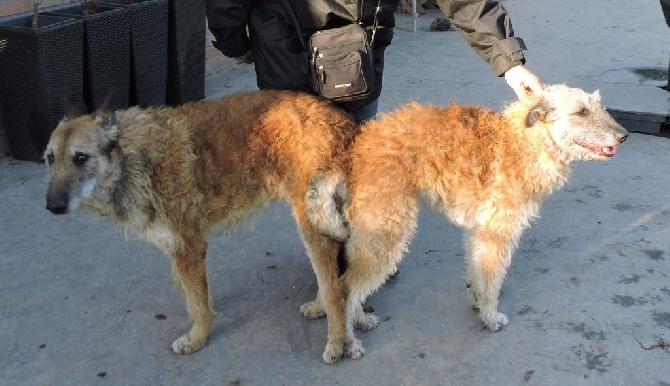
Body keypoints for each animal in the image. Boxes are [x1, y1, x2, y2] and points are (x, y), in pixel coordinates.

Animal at [43, 89, 356, 364]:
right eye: (49, 159)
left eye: (80, 157)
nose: (52, 206)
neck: (133, 159)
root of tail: (338, 117)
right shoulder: (176, 252)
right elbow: (191, 296)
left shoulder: (189, 249)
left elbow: (198, 305)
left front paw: (197, 338)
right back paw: (320, 308)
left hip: (311, 226)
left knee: (334, 290)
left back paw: (336, 342)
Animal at [308, 85, 632, 358]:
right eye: (581, 112)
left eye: (598, 106)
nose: (624, 135)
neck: (526, 143)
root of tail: (352, 151)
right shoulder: (498, 233)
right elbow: (492, 278)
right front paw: (490, 317)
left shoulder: (481, 230)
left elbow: (478, 271)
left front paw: (477, 301)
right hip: (386, 234)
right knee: (344, 289)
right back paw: (348, 341)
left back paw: (360, 320)